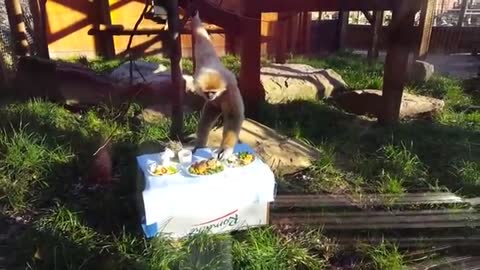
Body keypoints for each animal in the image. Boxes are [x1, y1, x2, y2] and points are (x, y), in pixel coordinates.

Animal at [190, 12, 244, 159]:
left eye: (213, 91)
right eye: (207, 92)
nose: (210, 96)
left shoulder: (230, 89)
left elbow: (233, 115)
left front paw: (226, 149)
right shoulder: (204, 59)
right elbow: (201, 37)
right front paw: (196, 20)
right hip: (214, 105)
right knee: (205, 121)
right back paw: (199, 145)